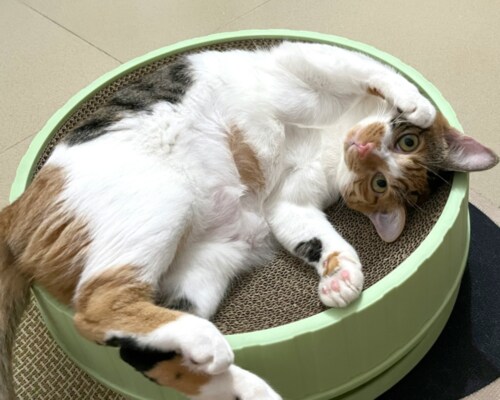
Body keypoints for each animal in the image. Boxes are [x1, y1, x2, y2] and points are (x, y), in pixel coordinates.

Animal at [0, 41, 496, 400]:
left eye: (380, 184)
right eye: (406, 141)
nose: (363, 148)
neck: (333, 132)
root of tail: (19, 212)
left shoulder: (289, 204)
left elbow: (315, 237)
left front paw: (341, 278)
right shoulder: (307, 59)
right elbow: (371, 70)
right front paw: (417, 103)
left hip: (208, 259)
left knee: (130, 341)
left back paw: (241, 380)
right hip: (161, 201)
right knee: (95, 309)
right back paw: (214, 349)